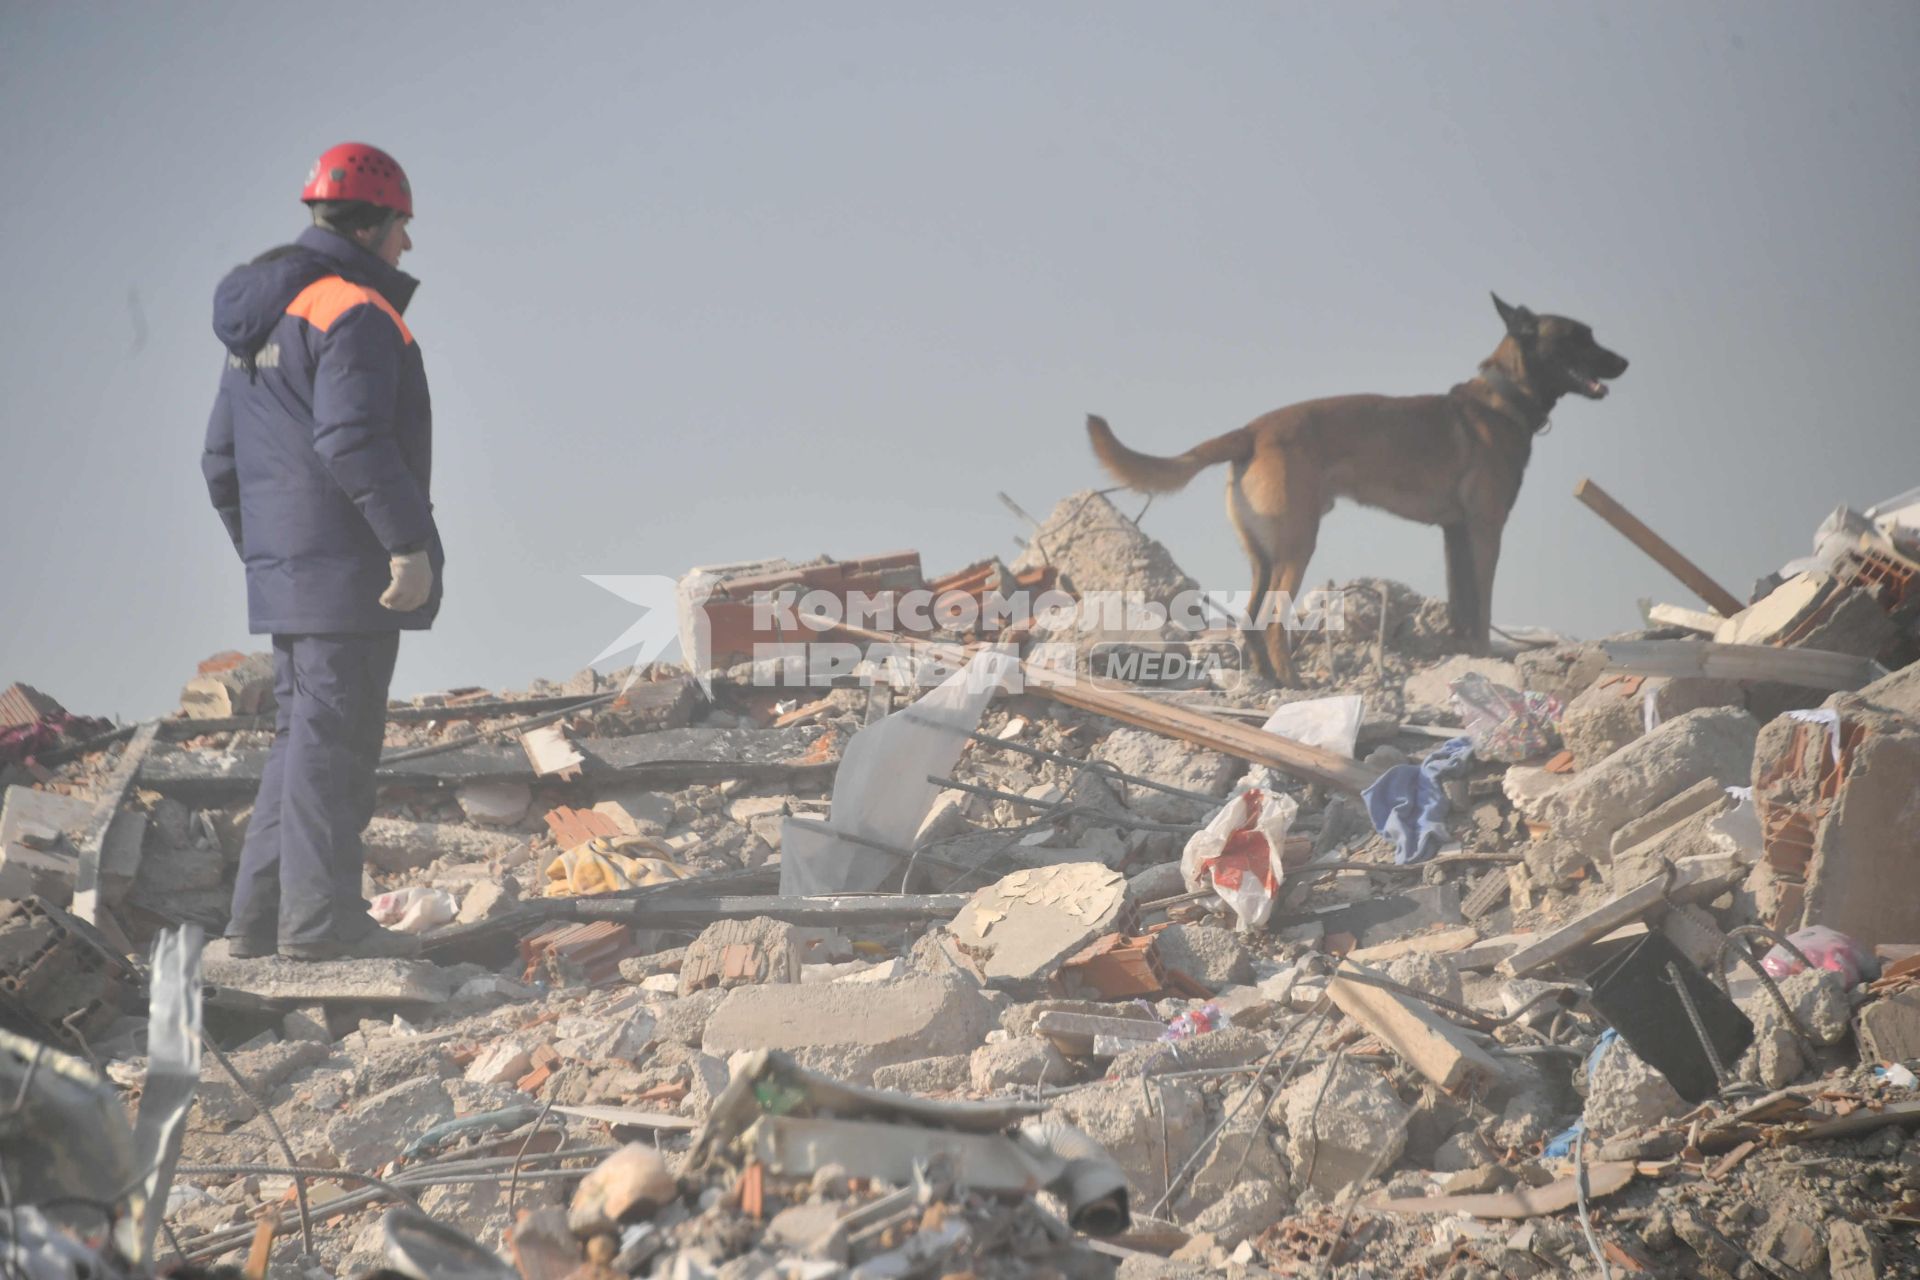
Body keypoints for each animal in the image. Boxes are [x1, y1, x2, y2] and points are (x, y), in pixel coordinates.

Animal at [1090, 295, 1628, 687]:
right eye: (1579, 337)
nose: (1624, 361)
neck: (1503, 398)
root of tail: (1253, 430)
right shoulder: (1484, 530)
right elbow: (1482, 606)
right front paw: (1483, 657)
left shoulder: (1454, 533)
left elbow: (1462, 604)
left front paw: (1462, 656)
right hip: (1298, 545)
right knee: (1273, 621)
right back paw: (1294, 681)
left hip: (1264, 553)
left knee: (1251, 617)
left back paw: (1269, 680)